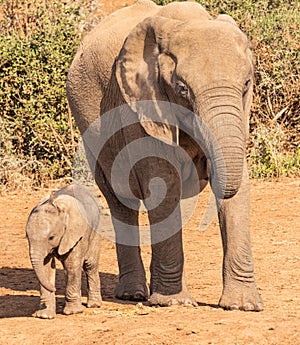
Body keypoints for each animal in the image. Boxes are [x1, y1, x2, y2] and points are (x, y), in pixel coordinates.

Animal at [26, 184, 101, 318]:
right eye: (27, 237)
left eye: (51, 237)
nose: (55, 289)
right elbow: (45, 267)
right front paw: (44, 316)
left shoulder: (76, 233)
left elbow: (72, 265)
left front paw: (72, 312)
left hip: (96, 228)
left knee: (90, 264)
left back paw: (94, 305)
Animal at [67, 0, 262, 312]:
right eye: (182, 89)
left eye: (246, 84)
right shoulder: (140, 102)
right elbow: (162, 178)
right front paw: (175, 303)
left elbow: (237, 182)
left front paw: (243, 306)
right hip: (88, 119)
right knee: (120, 196)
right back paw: (134, 295)